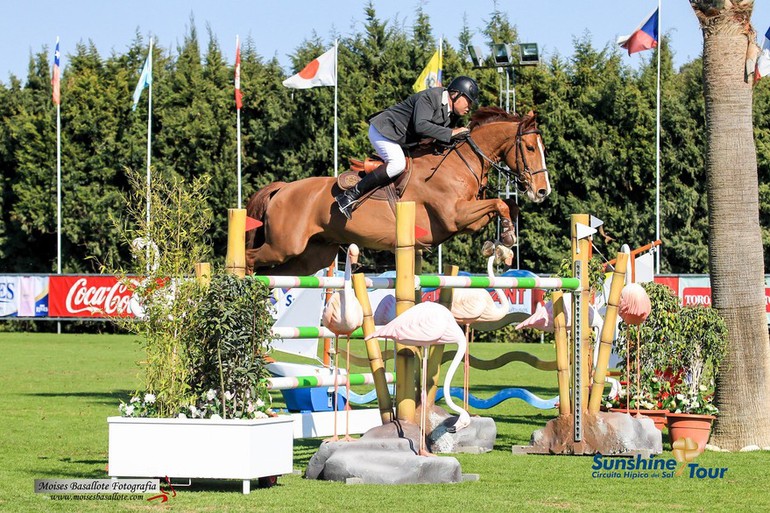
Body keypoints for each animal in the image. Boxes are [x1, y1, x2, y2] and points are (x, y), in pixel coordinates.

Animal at [244, 107, 544, 276]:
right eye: (530, 148)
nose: (541, 191)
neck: (462, 161)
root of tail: (283, 189)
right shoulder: (454, 216)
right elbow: (500, 204)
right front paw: (506, 239)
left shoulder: (466, 218)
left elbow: (508, 206)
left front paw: (501, 246)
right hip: (284, 246)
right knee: (249, 259)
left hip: (312, 255)